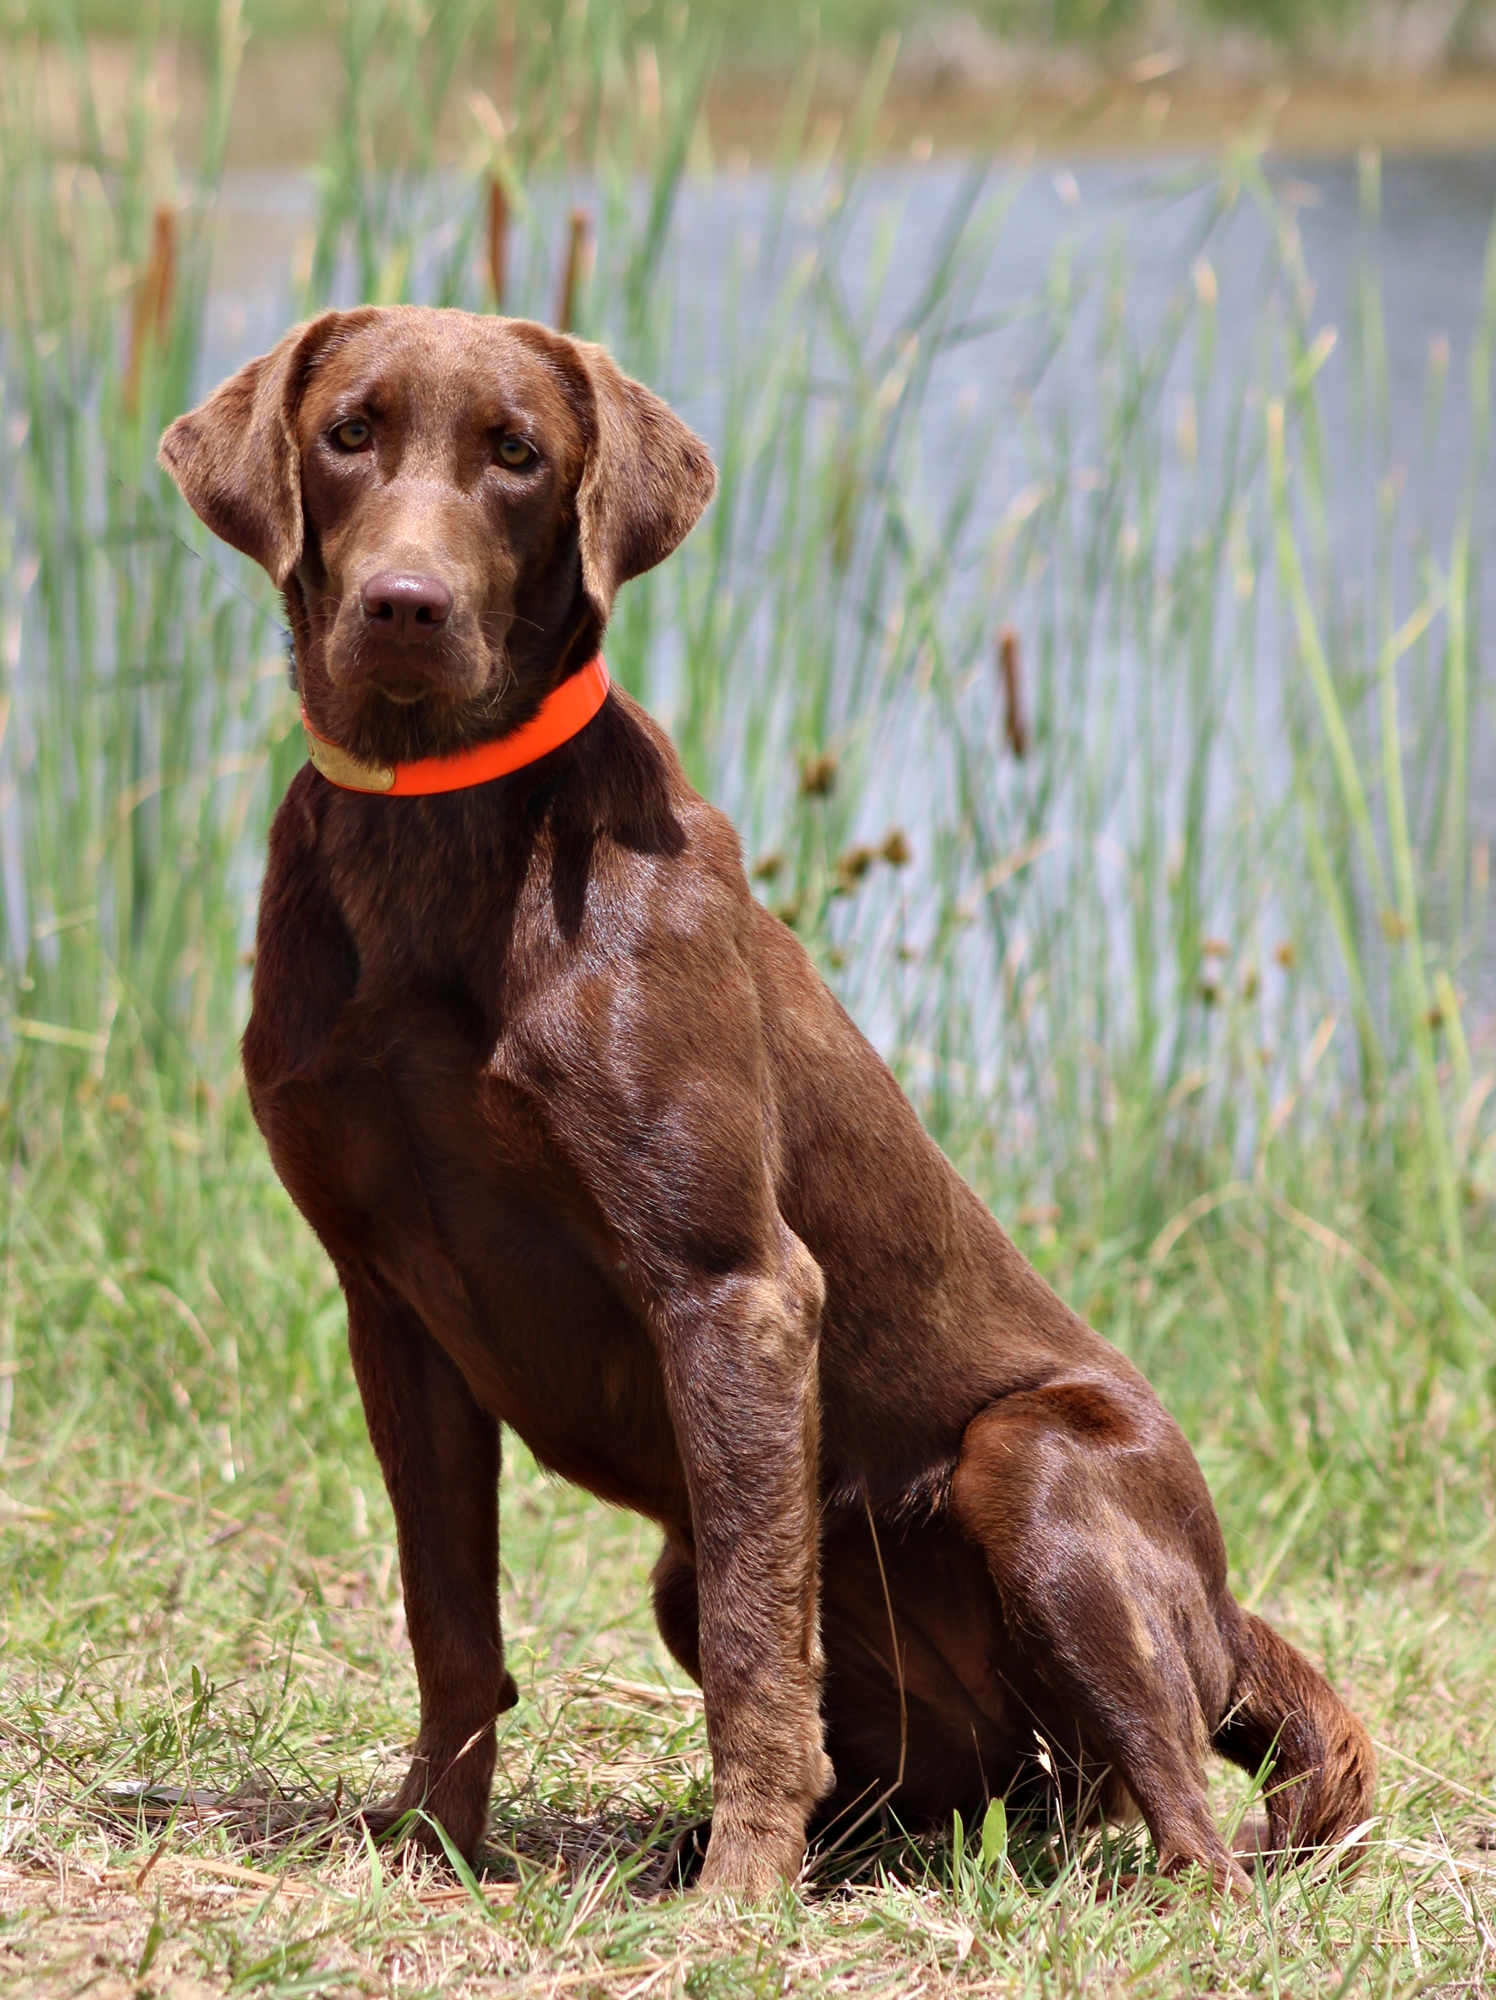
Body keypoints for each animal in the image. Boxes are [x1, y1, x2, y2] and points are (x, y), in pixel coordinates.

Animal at [158, 304, 1376, 1896]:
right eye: (349, 433)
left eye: (517, 454)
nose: (405, 605)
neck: (434, 835)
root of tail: (1228, 1612)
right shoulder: (393, 1312)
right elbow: (451, 1624)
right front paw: (432, 1839)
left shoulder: (730, 1285)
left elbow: (755, 1647)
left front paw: (740, 1890)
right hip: (736, 1581)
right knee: (966, 1781)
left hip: (1037, 1470)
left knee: (1174, 1798)